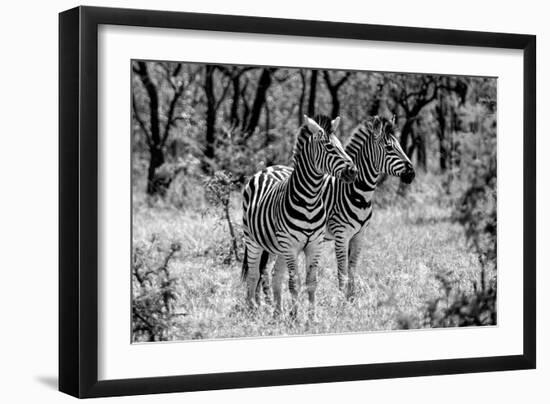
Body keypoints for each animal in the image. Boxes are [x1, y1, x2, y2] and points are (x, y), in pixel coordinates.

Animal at [242, 113, 358, 318]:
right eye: (330, 147)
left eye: (342, 146)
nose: (353, 172)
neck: (310, 200)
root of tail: (267, 168)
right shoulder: (291, 246)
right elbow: (294, 283)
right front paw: (295, 317)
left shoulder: (314, 245)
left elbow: (311, 282)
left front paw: (311, 317)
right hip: (253, 241)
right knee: (254, 275)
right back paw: (252, 311)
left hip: (277, 247)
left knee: (275, 275)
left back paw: (277, 312)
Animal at [262, 114, 414, 304]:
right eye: (389, 148)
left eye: (400, 145)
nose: (412, 173)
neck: (357, 193)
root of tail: (270, 167)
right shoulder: (341, 235)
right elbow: (342, 272)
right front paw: (342, 302)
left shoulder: (359, 236)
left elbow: (352, 270)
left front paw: (352, 300)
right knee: (265, 271)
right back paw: (266, 304)